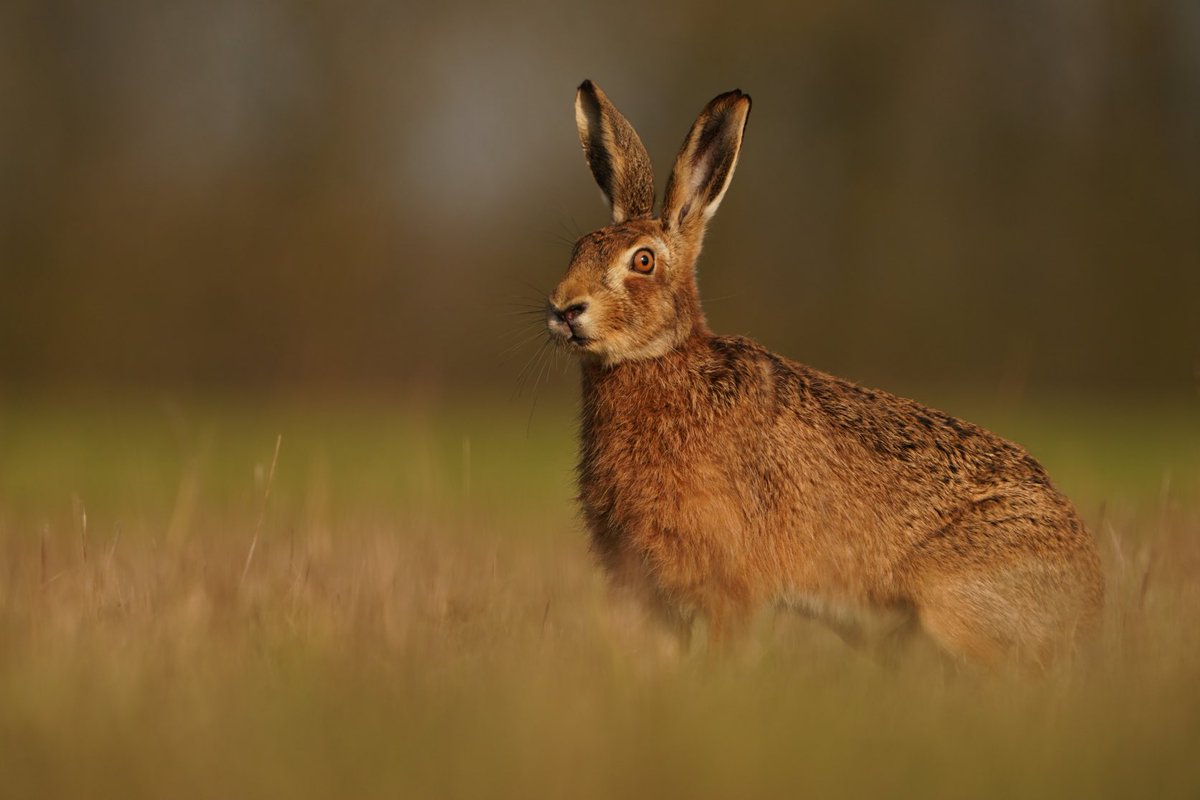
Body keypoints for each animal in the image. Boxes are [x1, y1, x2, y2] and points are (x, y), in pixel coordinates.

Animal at [546, 79, 1104, 669]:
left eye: (644, 261)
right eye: (577, 249)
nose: (564, 308)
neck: (660, 358)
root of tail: (1090, 599)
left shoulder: (726, 581)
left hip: (952, 600)